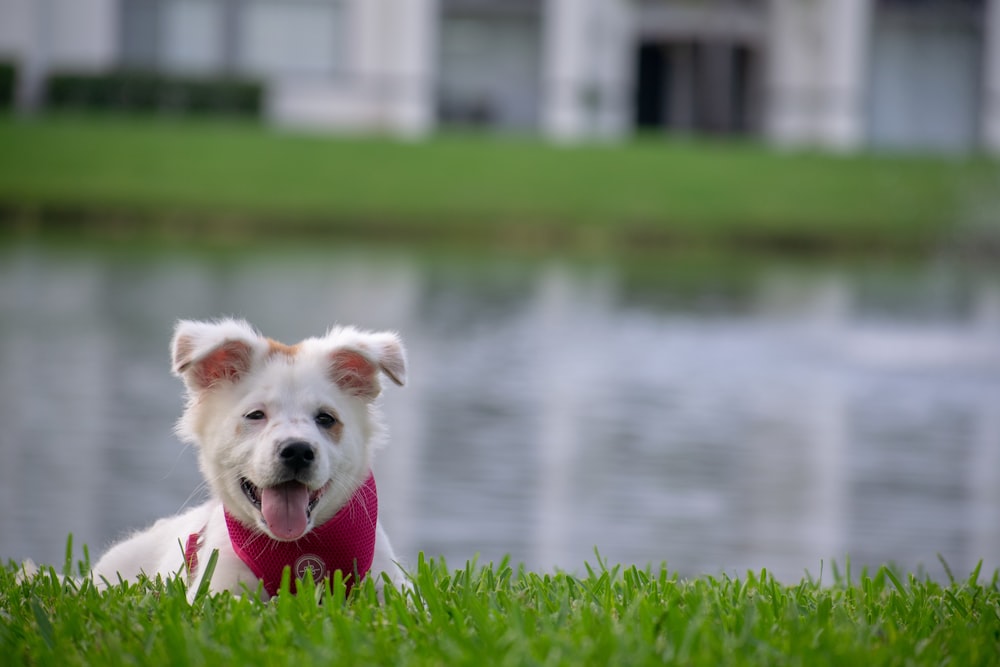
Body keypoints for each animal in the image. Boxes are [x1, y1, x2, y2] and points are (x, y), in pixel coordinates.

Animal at [91, 318, 410, 600]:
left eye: (326, 418)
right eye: (255, 415)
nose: (297, 451)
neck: (294, 549)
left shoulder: (388, 585)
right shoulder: (214, 589)